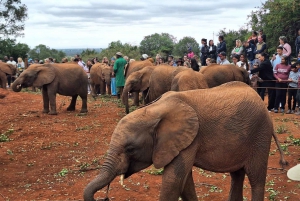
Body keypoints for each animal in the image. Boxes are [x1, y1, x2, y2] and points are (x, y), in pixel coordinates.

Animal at [83, 81, 288, 201]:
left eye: (130, 149)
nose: (104, 198)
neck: (155, 110)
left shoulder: (190, 138)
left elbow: (173, 181)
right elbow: (185, 182)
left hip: (260, 135)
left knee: (256, 179)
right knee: (236, 176)